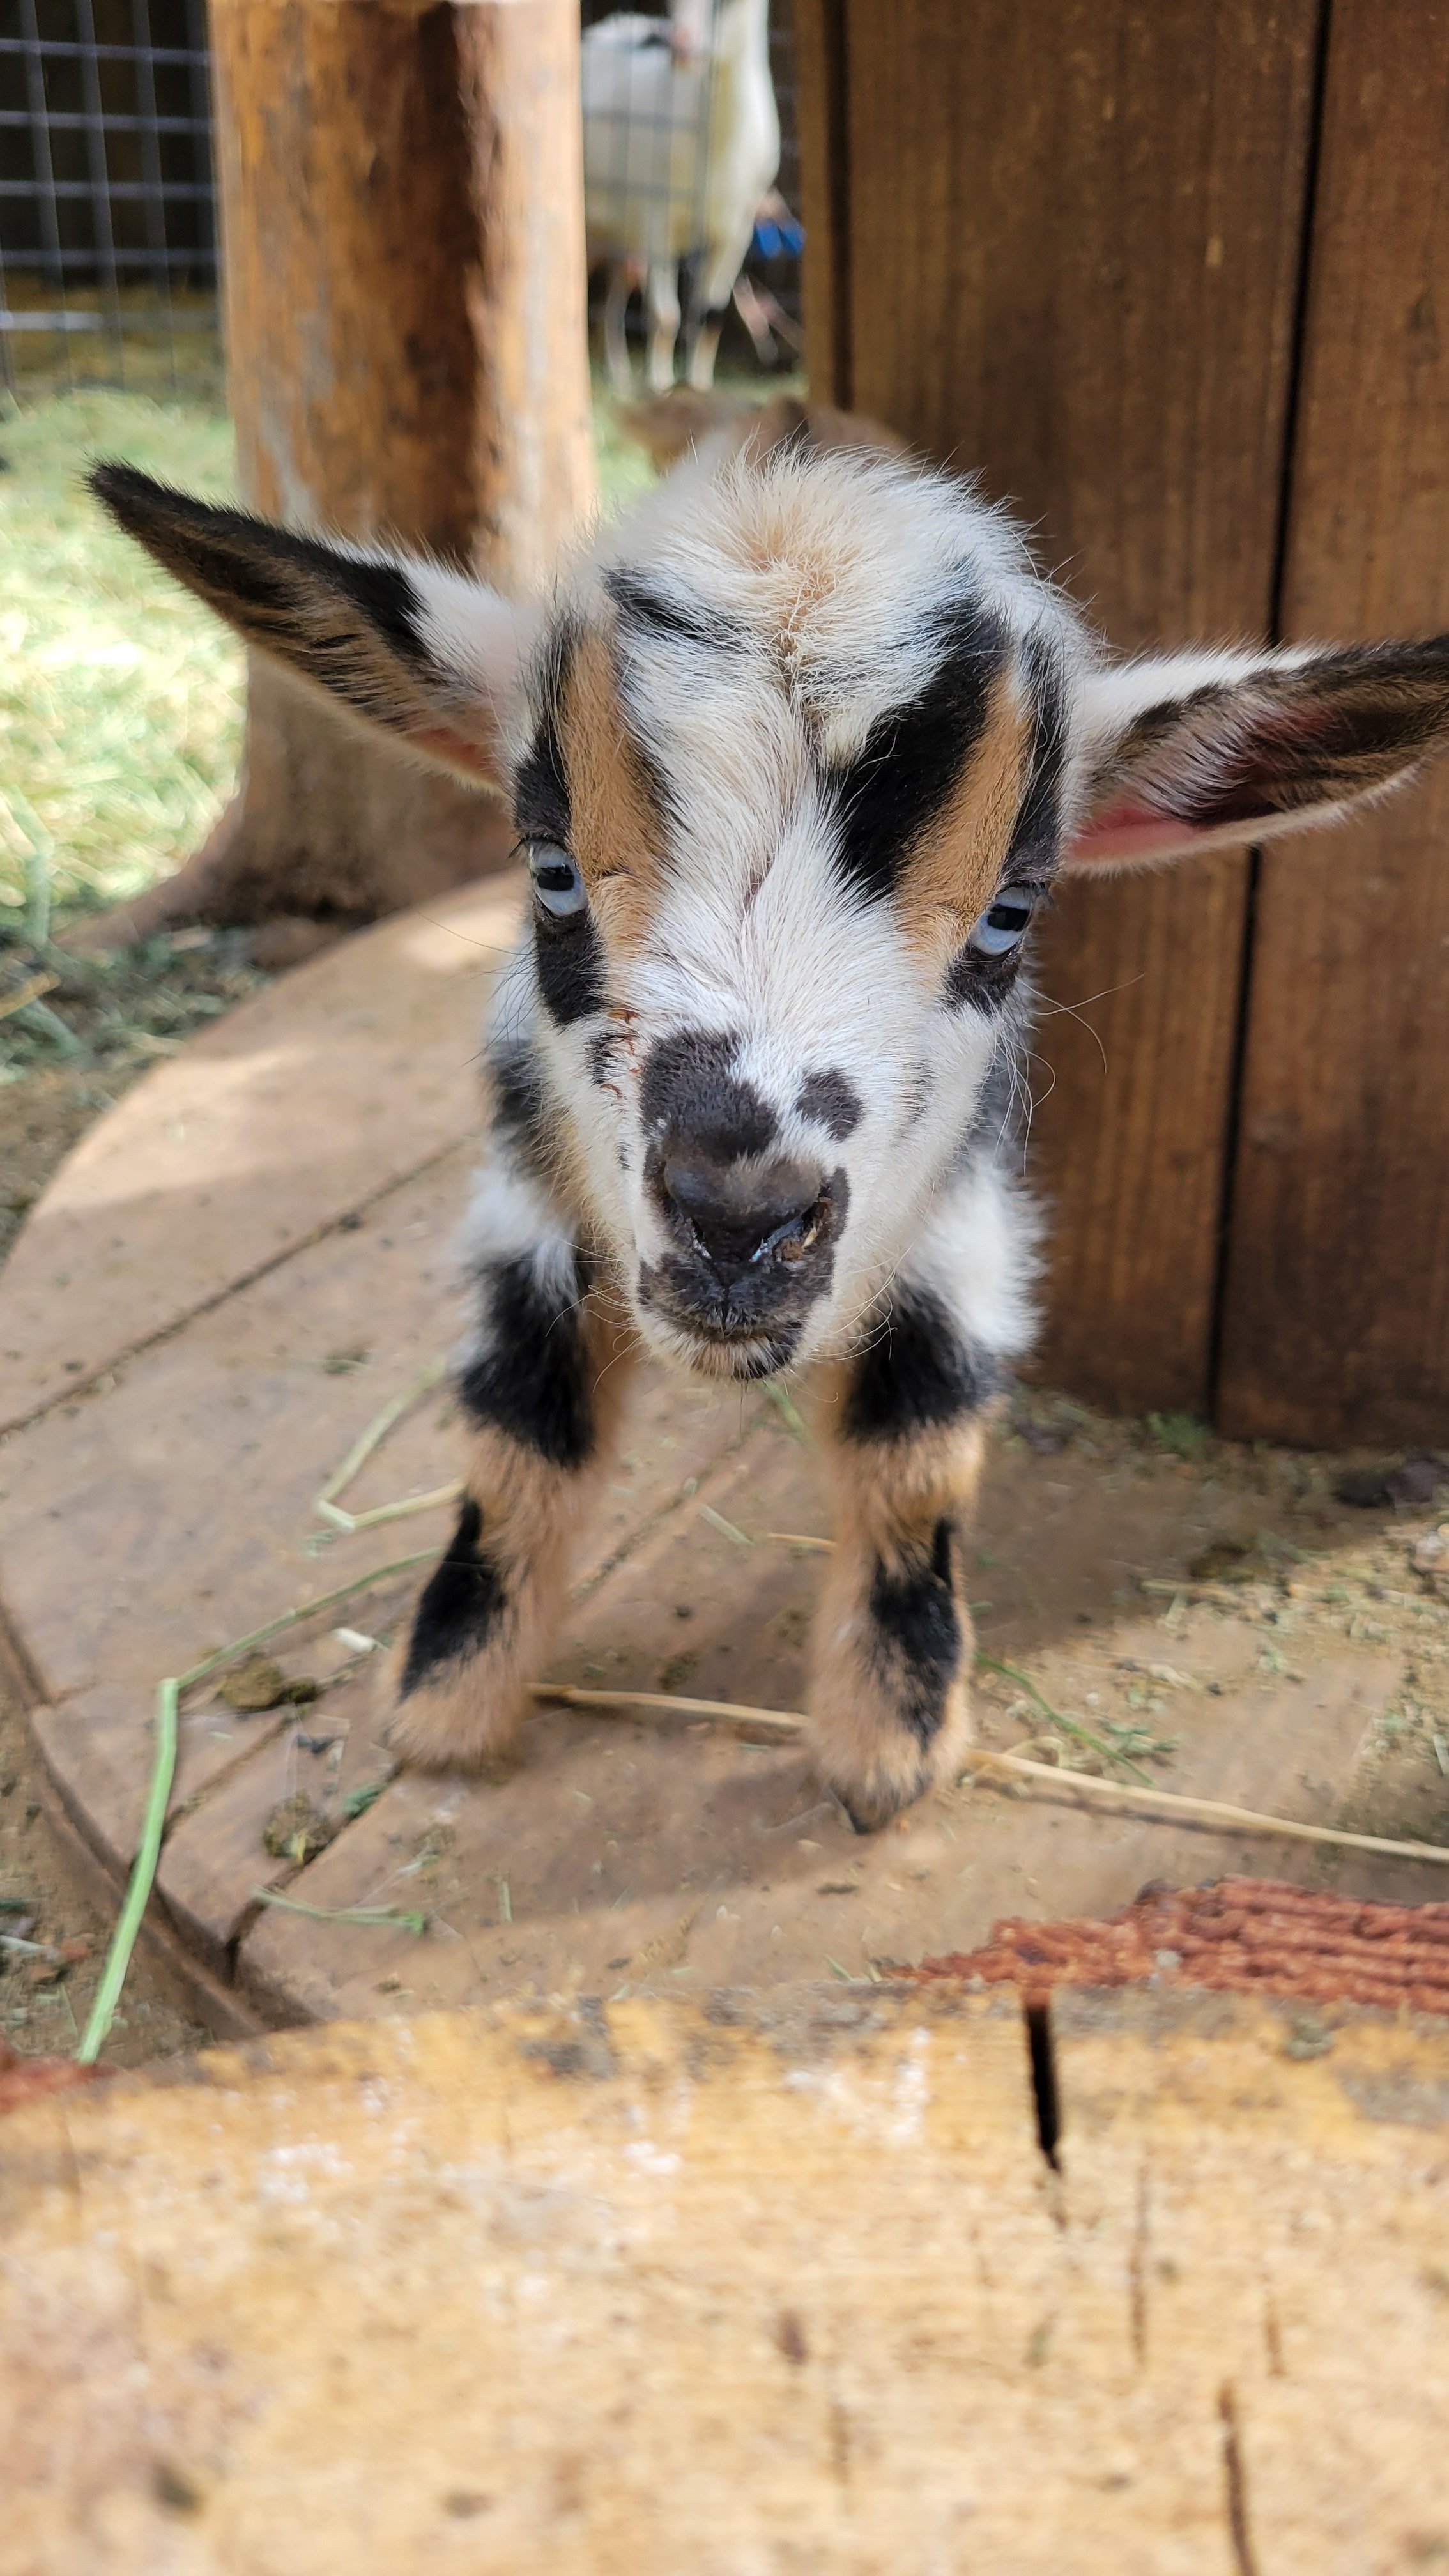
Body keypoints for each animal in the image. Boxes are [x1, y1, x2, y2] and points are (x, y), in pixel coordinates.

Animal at [92, 412, 1449, 1829]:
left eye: (1011, 913)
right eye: (549, 870)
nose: (737, 1221)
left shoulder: (962, 1221)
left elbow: (915, 1449)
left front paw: (891, 1742)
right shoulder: (527, 1195)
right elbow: (523, 1425)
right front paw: (448, 1701)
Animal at [583, 0, 780, 394]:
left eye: (729, 3)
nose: (682, 48)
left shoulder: (739, 227)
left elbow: (712, 314)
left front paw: (699, 386)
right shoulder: (656, 216)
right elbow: (665, 314)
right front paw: (661, 386)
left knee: (614, 299)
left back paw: (621, 379)